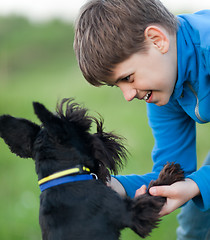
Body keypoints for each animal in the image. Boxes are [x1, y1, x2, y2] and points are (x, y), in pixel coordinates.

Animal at [0, 98, 184, 239]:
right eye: (84, 129)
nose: (103, 134)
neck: (63, 176)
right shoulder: (133, 213)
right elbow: (150, 194)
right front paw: (168, 175)